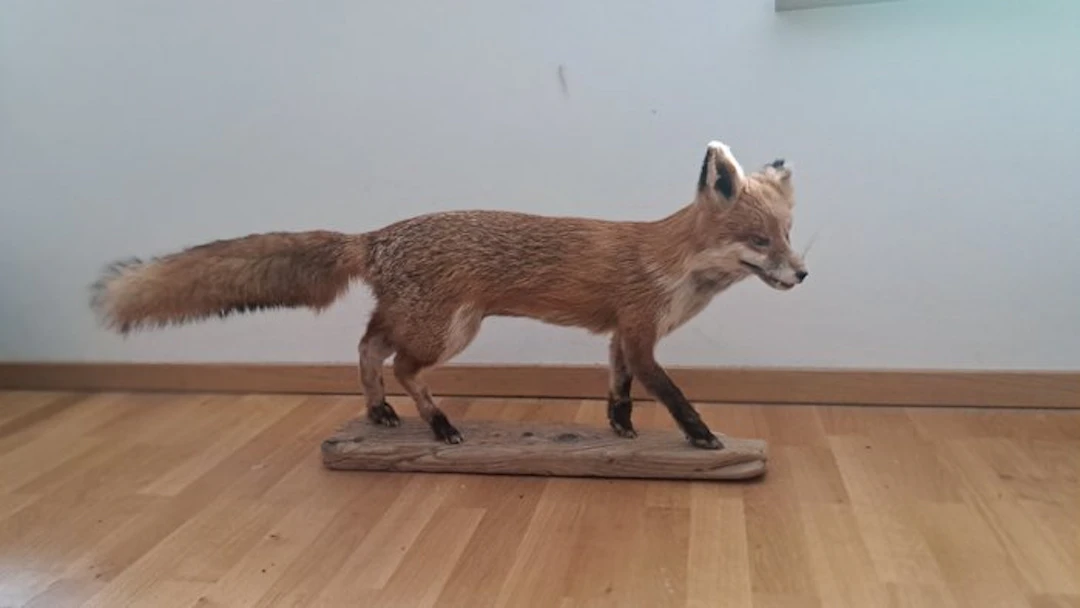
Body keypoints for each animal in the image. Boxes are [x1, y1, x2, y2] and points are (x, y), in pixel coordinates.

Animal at [91, 140, 807, 450]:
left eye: (789, 234)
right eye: (759, 240)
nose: (802, 275)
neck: (674, 267)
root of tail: (376, 235)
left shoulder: (618, 338)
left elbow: (619, 390)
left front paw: (622, 430)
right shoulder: (639, 331)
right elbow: (674, 394)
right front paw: (702, 437)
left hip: (417, 319)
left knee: (366, 349)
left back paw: (380, 413)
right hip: (449, 331)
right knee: (403, 366)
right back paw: (437, 425)